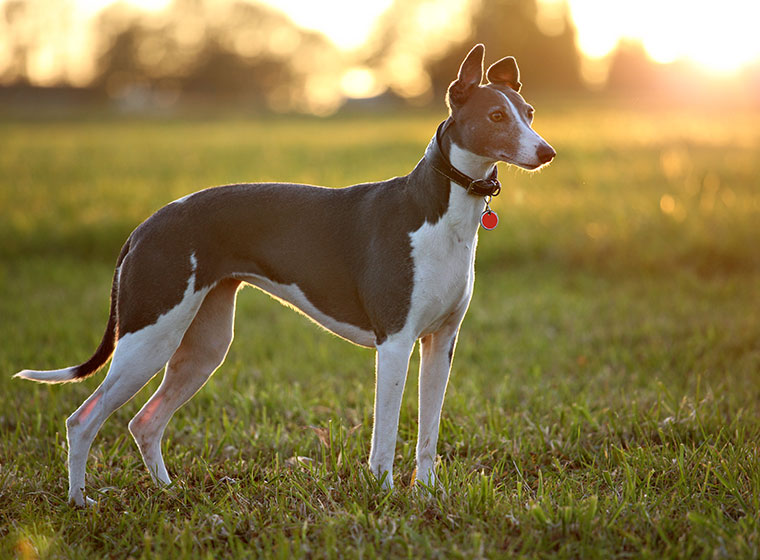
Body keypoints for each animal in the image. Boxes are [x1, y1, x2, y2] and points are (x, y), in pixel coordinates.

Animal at [14, 44, 556, 508]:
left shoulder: (440, 344)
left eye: (529, 112)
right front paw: (382, 495)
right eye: (496, 116)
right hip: (149, 337)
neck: (438, 210)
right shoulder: (395, 343)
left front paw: (425, 496)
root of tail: (145, 226)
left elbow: (427, 433)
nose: (547, 153)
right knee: (82, 419)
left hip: (202, 346)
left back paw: (169, 492)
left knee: (145, 422)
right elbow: (384, 435)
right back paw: (79, 501)